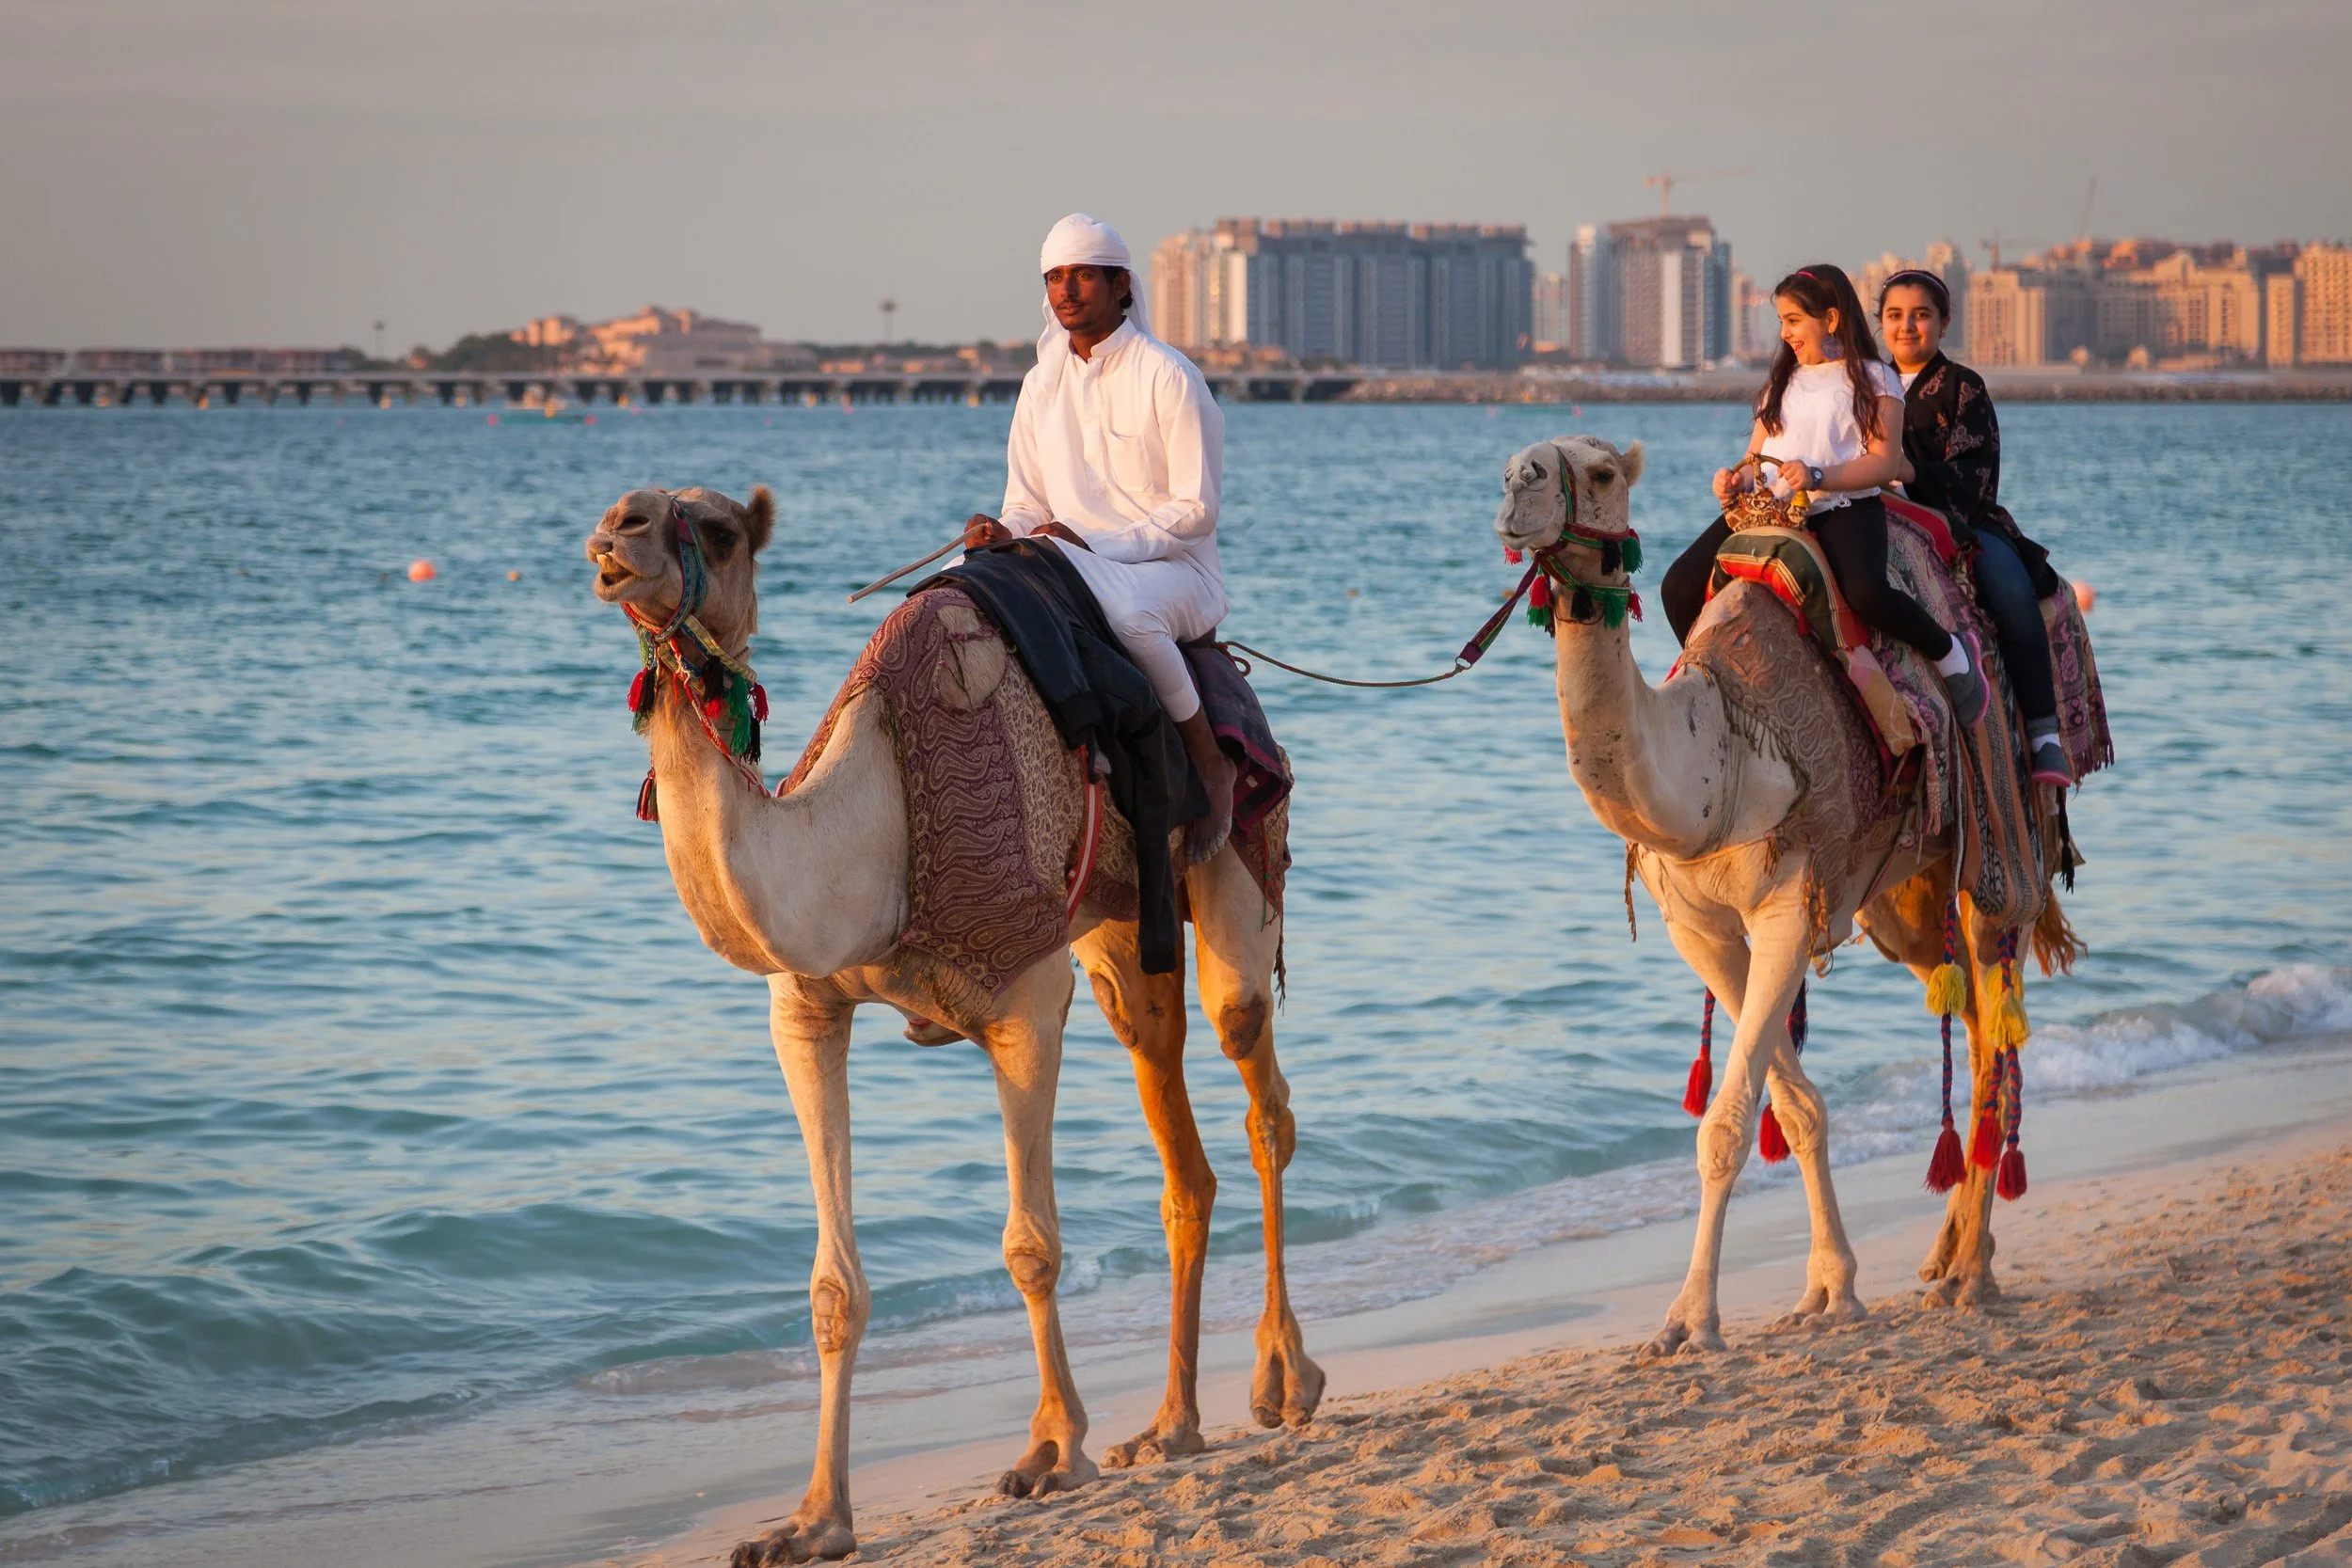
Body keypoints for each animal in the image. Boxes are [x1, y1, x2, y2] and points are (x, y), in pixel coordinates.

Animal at [585, 485, 1322, 1565]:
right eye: (629, 508)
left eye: (715, 528)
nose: (616, 533)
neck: (877, 837)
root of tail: (1228, 663)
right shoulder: (806, 1008)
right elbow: (832, 1288)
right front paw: (813, 1520)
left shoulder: (1026, 999)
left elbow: (1030, 1245)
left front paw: (1052, 1448)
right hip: (1122, 927)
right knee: (1175, 1127)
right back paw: (1170, 1425)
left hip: (1238, 860)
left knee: (1257, 1078)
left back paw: (1283, 1379)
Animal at [1493, 436, 2078, 1358]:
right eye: (1518, 462)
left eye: (1601, 471)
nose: (1519, 485)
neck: (1723, 756)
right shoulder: (1700, 927)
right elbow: (1796, 1106)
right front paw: (1829, 1287)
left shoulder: (1786, 907)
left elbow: (1727, 1125)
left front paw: (1689, 1319)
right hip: (1906, 902)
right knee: (1978, 1022)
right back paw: (1948, 1254)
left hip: (2004, 847)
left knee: (1997, 1041)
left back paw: (1973, 1276)